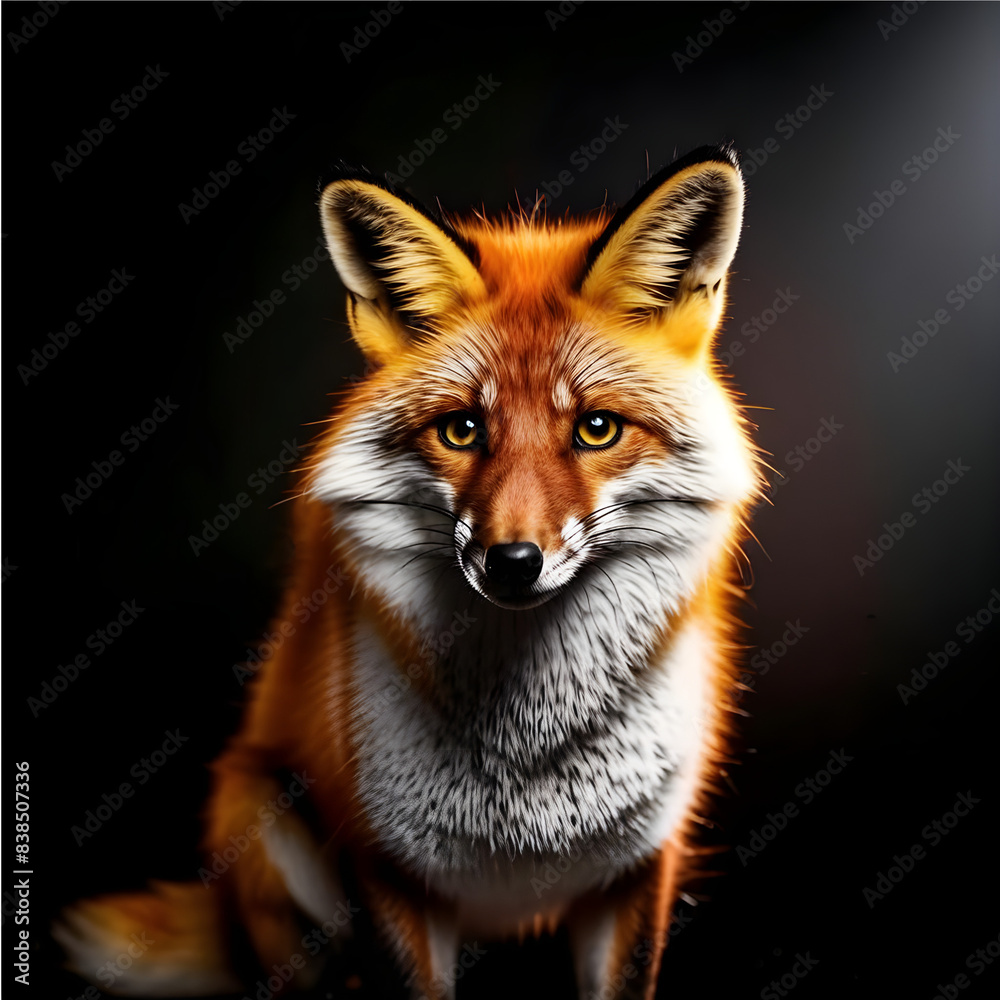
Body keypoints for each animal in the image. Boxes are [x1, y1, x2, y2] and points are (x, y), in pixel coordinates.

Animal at [56, 145, 762, 999]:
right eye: (461, 430)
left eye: (596, 429)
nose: (512, 562)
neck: (526, 755)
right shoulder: (387, 871)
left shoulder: (638, 868)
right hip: (267, 834)